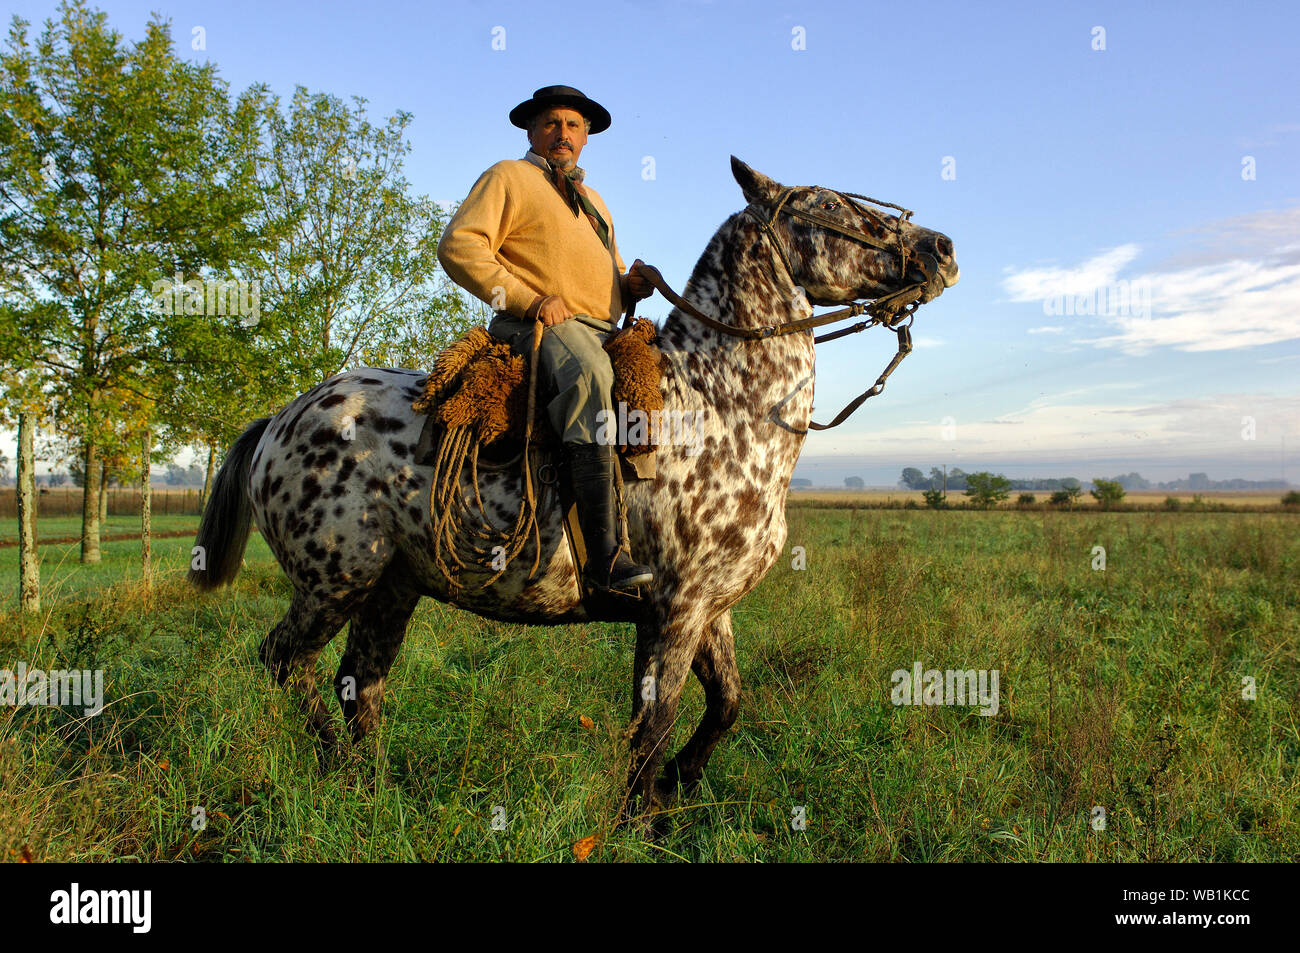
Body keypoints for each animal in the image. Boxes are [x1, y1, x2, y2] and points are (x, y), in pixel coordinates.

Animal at [195, 159, 967, 816]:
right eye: (830, 206)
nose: (942, 249)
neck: (719, 405)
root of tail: (280, 419)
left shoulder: (712, 609)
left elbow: (726, 706)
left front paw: (677, 790)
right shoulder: (673, 611)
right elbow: (653, 724)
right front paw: (639, 819)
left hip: (393, 586)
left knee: (361, 683)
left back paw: (372, 790)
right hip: (336, 582)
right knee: (286, 662)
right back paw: (338, 765)